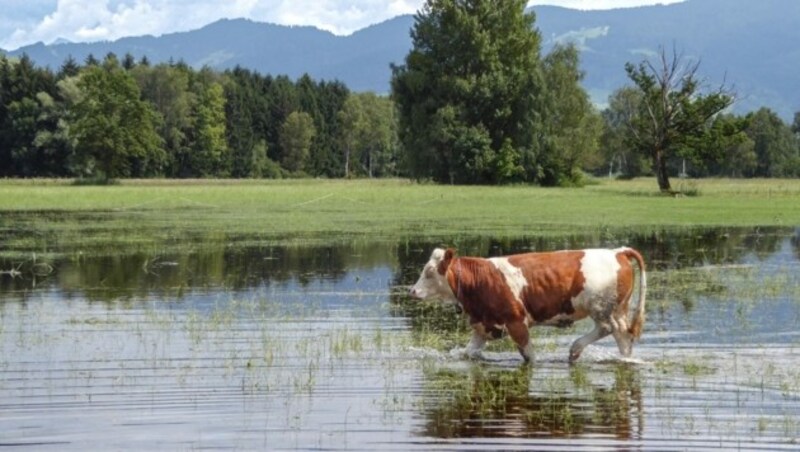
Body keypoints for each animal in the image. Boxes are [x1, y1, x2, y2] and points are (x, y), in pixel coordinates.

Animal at [410, 247, 648, 364]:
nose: (412, 291)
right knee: (623, 336)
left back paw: (575, 349)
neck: (480, 280)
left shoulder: (516, 321)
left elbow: (529, 357)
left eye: (429, 272)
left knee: (609, 328)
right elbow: (468, 353)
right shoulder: (483, 325)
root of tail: (617, 251)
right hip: (618, 309)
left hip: (601, 307)